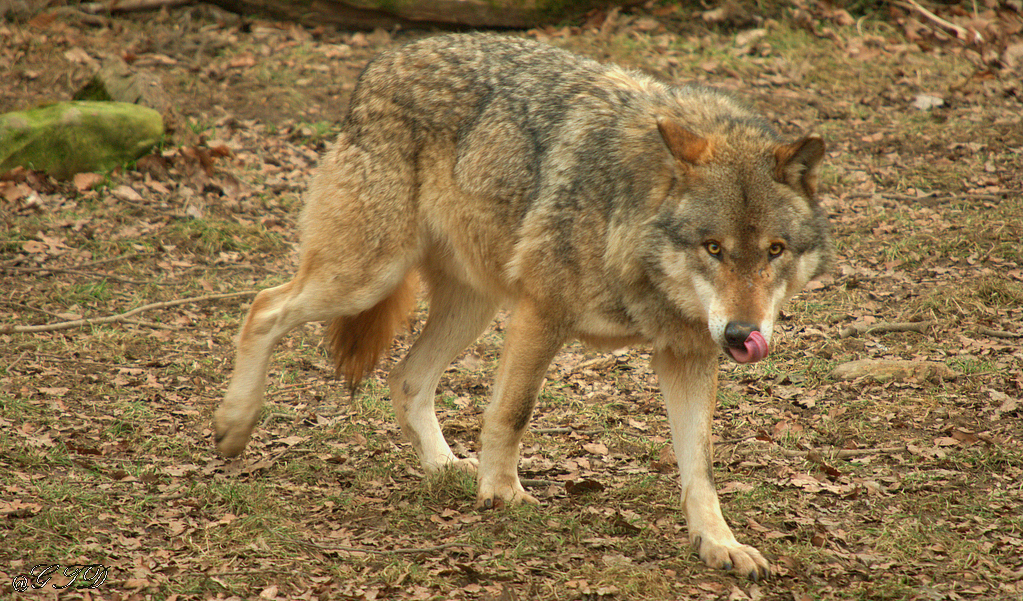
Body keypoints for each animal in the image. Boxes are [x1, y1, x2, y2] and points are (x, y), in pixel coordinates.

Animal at [213, 34, 830, 581]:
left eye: (774, 250)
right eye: (713, 248)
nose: (741, 335)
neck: (627, 215)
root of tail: (384, 59)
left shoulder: (689, 352)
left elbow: (700, 466)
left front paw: (720, 544)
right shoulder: (541, 312)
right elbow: (512, 412)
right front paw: (502, 493)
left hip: (470, 307)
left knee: (405, 379)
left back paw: (444, 466)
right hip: (364, 278)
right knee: (262, 308)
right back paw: (234, 426)